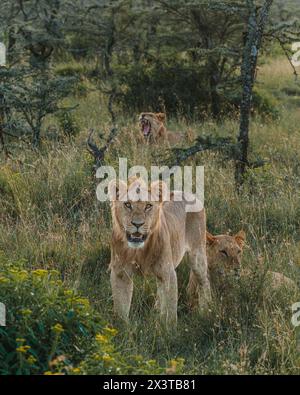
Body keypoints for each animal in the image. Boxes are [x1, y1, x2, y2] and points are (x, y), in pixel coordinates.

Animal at [108, 178, 211, 326]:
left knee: (204, 281)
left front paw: (169, 330)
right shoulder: (120, 273)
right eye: (127, 204)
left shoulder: (167, 273)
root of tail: (190, 195)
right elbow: (121, 309)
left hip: (197, 254)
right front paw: (122, 328)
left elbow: (170, 311)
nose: (137, 224)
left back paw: (206, 312)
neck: (139, 251)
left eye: (148, 206)